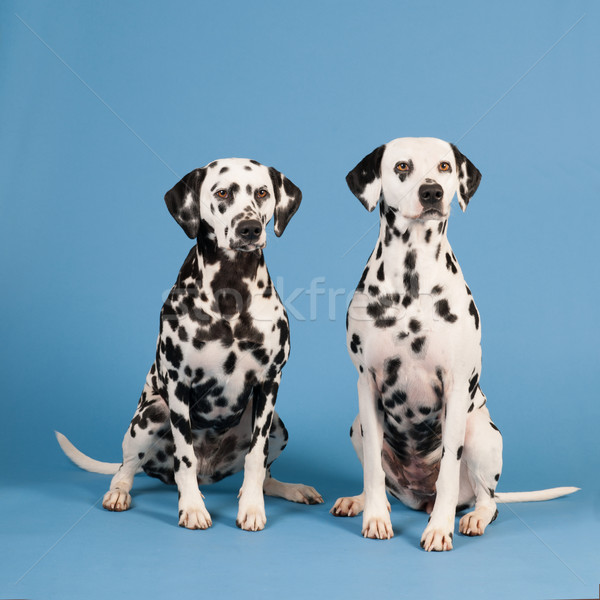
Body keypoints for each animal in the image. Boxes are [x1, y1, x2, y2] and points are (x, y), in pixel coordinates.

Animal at [56, 158, 326, 528]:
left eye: (261, 192)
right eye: (222, 193)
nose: (250, 229)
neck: (230, 288)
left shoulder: (269, 383)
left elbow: (256, 460)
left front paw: (252, 507)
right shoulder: (178, 384)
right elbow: (185, 457)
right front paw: (193, 507)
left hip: (278, 427)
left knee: (265, 474)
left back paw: (289, 489)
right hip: (151, 415)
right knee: (127, 467)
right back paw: (120, 492)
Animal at [330, 138, 580, 552]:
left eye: (445, 166)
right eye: (401, 166)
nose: (431, 191)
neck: (412, 279)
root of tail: (418, 495)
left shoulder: (455, 387)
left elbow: (448, 467)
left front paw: (439, 529)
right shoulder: (367, 385)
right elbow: (373, 472)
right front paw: (376, 517)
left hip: (481, 434)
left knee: (488, 499)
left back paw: (472, 516)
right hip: (357, 427)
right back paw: (361, 501)